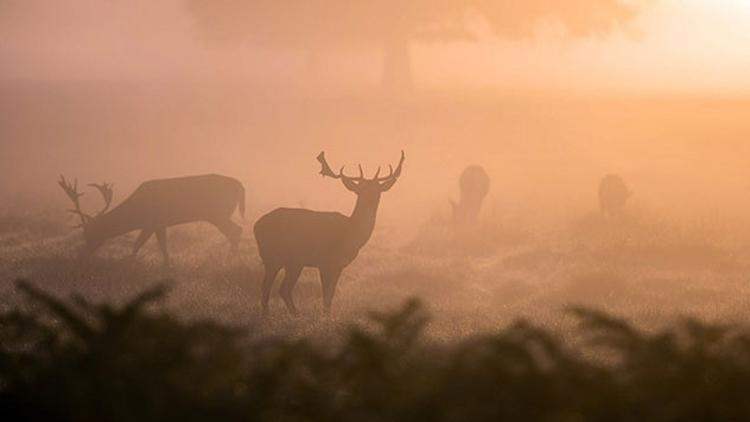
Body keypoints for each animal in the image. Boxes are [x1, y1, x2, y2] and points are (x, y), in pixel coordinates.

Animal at [61, 172, 247, 264]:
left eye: (91, 232)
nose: (82, 254)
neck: (136, 213)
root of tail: (241, 185)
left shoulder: (155, 221)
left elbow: (146, 244)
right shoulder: (154, 224)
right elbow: (149, 244)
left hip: (218, 213)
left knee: (236, 230)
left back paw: (230, 261)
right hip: (218, 214)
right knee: (236, 231)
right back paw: (233, 259)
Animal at [254, 150, 408, 314]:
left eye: (377, 190)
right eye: (360, 189)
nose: (371, 199)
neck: (351, 234)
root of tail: (256, 225)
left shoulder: (338, 265)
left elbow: (331, 294)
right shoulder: (325, 261)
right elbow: (327, 294)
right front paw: (325, 315)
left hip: (293, 262)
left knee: (283, 289)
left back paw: (294, 314)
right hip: (273, 256)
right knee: (267, 287)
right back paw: (269, 314)